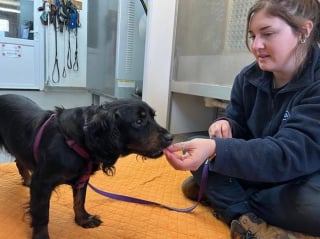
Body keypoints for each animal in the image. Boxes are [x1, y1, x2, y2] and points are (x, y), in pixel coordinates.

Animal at [0, 94, 172, 239]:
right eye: (138, 121)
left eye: (153, 117)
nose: (171, 138)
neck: (79, 139)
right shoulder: (42, 184)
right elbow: (42, 215)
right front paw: (41, 236)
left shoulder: (82, 178)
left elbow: (79, 201)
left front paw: (83, 220)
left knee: (19, 161)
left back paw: (27, 180)